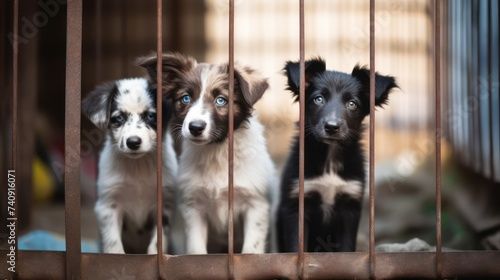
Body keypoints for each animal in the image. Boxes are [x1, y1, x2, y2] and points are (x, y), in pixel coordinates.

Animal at [138, 52, 278, 254]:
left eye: (221, 100)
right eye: (185, 98)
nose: (195, 127)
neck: (217, 152)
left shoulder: (255, 204)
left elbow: (251, 249)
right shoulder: (193, 206)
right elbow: (196, 249)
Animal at [278, 58, 398, 253]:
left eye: (352, 104)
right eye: (318, 99)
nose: (332, 127)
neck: (330, 156)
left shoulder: (349, 207)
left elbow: (346, 247)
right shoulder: (295, 206)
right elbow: (296, 247)